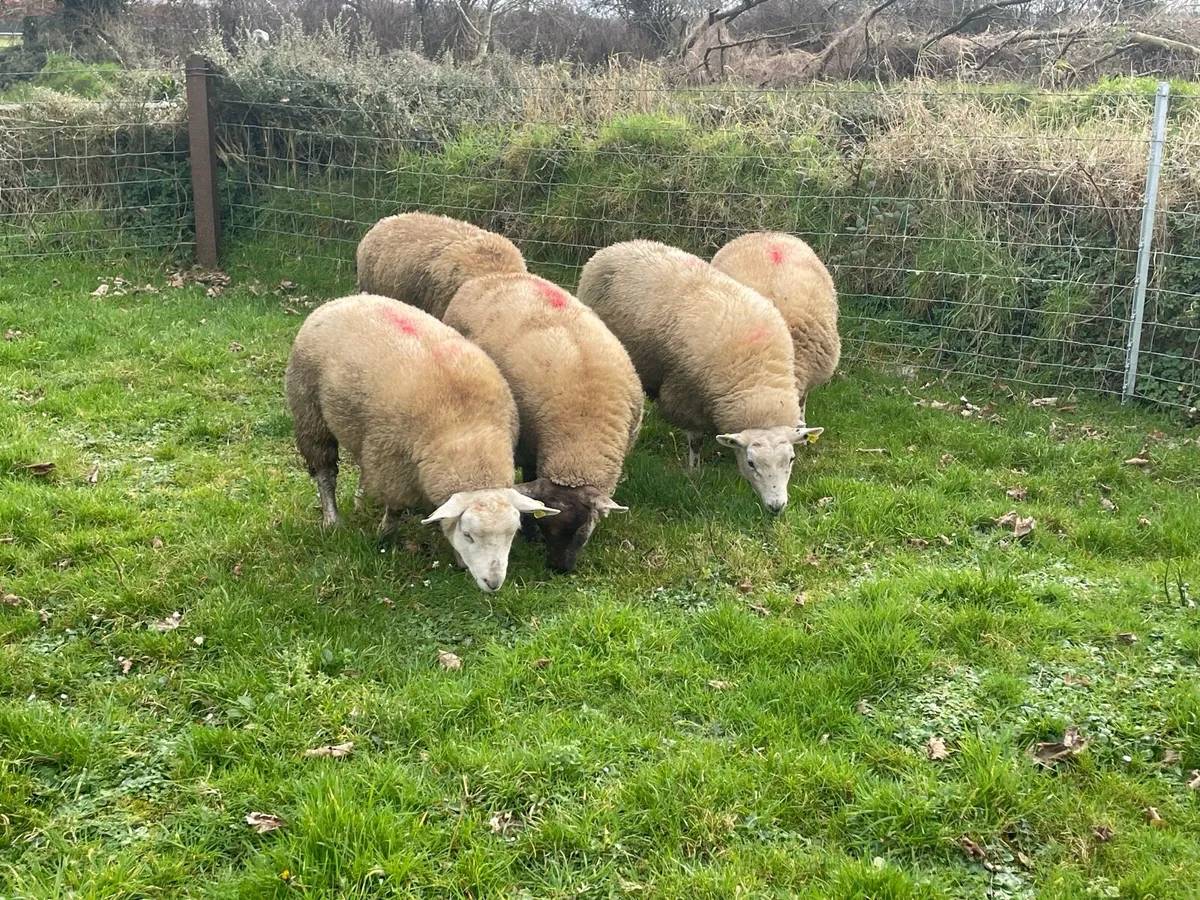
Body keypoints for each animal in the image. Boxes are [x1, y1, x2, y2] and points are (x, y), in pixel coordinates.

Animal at [284, 293, 559, 592]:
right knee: (325, 472)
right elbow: (395, 508)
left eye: (513, 533)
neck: (466, 431)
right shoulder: (394, 464)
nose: (493, 583)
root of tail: (346, 299)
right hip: (309, 410)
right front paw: (385, 535)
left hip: (363, 432)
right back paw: (332, 520)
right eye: (468, 534)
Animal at [443, 273, 643, 573]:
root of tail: (492, 276)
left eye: (583, 530)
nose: (558, 568)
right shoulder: (529, 449)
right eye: (546, 528)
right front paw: (529, 532)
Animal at [576, 240, 822, 513]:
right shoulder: (687, 395)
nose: (777, 506)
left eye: (791, 459)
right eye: (751, 463)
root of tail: (618, 246)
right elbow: (695, 440)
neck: (757, 378)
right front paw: (694, 471)